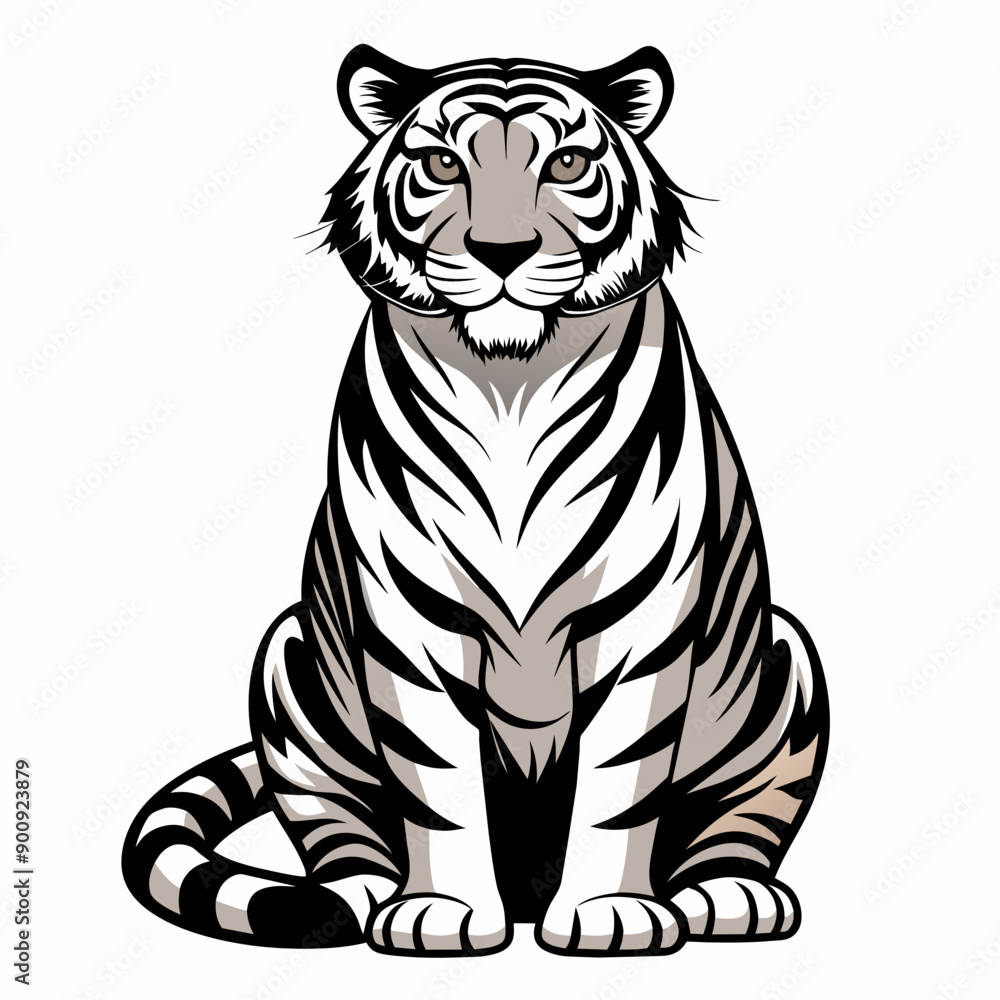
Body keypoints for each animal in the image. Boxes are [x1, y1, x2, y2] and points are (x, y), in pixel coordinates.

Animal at [122, 44, 829, 957]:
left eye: (565, 164)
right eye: (442, 164)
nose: (501, 251)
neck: (508, 381)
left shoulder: (640, 621)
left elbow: (623, 781)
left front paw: (614, 915)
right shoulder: (410, 620)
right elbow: (435, 782)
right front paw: (441, 914)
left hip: (785, 659)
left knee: (739, 820)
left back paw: (730, 895)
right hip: (292, 663)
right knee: (339, 829)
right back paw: (360, 893)